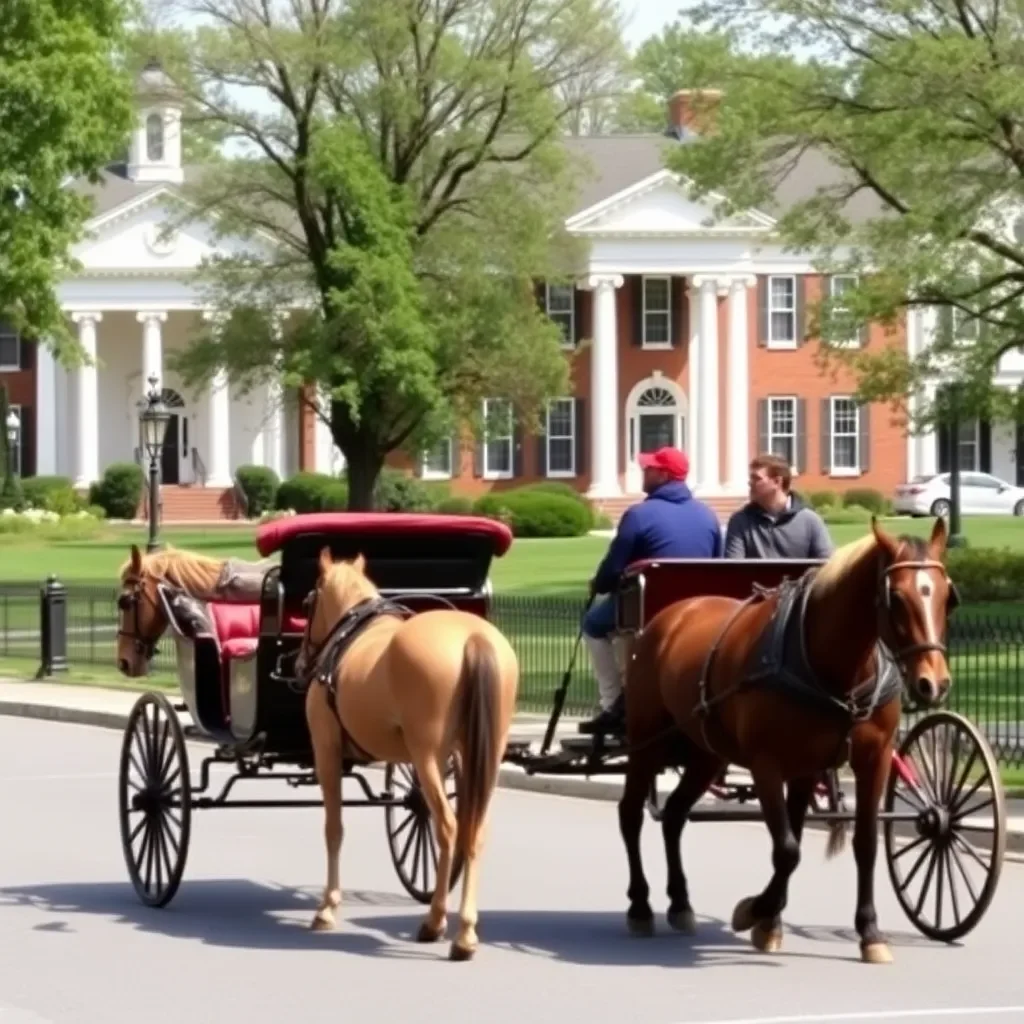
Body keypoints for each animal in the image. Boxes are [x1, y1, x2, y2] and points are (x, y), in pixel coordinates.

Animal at [294, 548, 520, 962]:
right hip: (485, 754)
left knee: (448, 827)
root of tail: (474, 637)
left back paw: (437, 923)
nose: (301, 664)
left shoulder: (326, 749)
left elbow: (334, 828)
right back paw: (465, 930)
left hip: (429, 753)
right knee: (473, 829)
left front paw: (327, 907)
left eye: (307, 602)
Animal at [614, 516, 958, 962]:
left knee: (673, 815)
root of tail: (670, 615)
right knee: (631, 814)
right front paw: (755, 911)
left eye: (948, 598)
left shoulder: (865, 759)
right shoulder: (768, 763)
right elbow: (788, 848)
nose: (934, 683)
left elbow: (861, 844)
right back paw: (640, 905)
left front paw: (866, 931)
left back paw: (680, 902)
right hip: (647, 741)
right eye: (896, 597)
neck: (836, 670)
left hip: (706, 753)